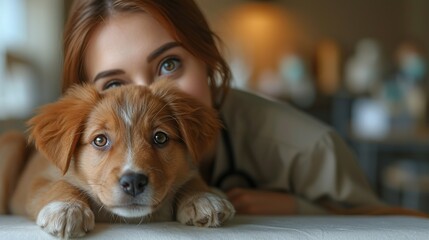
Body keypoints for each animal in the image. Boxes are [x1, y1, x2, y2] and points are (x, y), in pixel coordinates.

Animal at [10, 80, 236, 238]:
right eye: (100, 140)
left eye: (160, 138)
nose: (134, 182)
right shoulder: (36, 181)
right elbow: (59, 184)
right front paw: (66, 208)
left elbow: (191, 179)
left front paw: (203, 198)